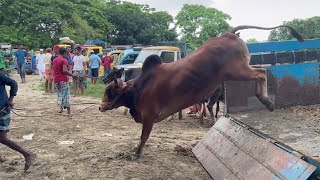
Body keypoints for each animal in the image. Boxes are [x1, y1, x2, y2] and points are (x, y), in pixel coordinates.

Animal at [99, 25, 304, 159]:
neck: (138, 89)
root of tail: (227, 34)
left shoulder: (149, 116)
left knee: (261, 72)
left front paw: (136, 153)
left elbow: (143, 137)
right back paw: (265, 100)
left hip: (238, 71)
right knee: (260, 71)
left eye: (109, 91)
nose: (100, 107)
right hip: (239, 71)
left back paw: (266, 100)